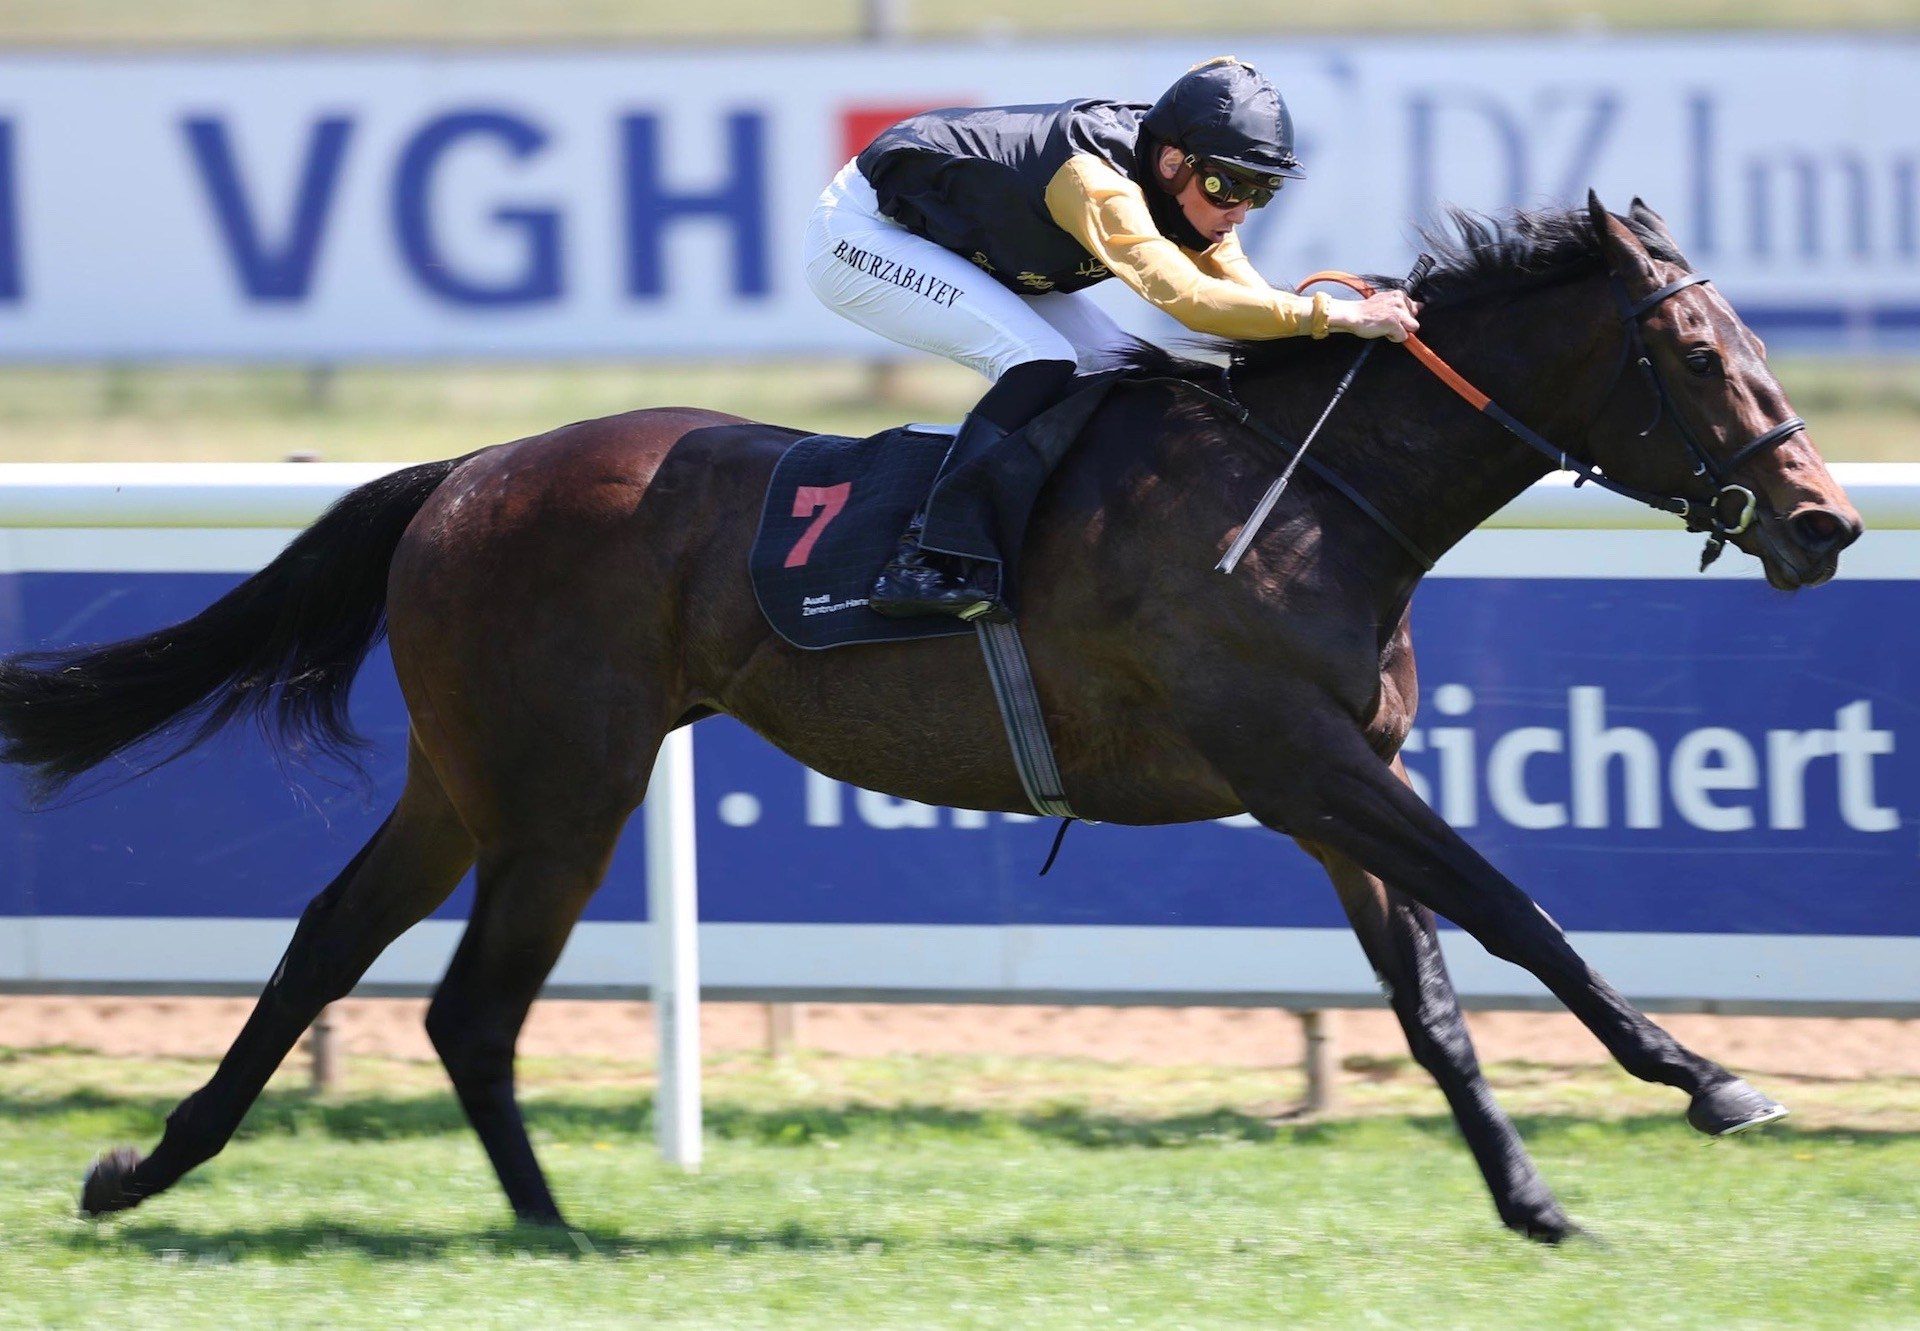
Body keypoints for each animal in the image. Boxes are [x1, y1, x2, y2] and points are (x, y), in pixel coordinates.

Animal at [0, 192, 1858, 1244]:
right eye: (1704, 353)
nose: (1827, 521)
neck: (1318, 491)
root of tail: (468, 469)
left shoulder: (1334, 783)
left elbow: (1437, 1004)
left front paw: (1536, 1199)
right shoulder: (1299, 758)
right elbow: (1519, 914)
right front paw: (1710, 1080)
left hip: (479, 778)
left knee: (346, 947)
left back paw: (162, 1175)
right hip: (561, 785)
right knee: (467, 999)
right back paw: (540, 1227)